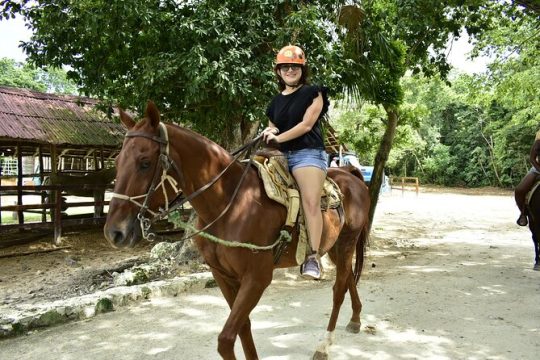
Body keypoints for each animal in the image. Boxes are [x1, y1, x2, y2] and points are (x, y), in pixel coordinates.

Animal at [103, 102, 370, 360]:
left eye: (145, 162)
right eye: (117, 162)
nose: (114, 232)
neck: (230, 203)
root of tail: (349, 174)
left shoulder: (256, 278)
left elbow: (226, 339)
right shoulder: (222, 275)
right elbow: (243, 328)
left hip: (347, 242)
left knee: (338, 289)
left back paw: (324, 346)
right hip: (334, 246)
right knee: (348, 279)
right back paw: (355, 319)